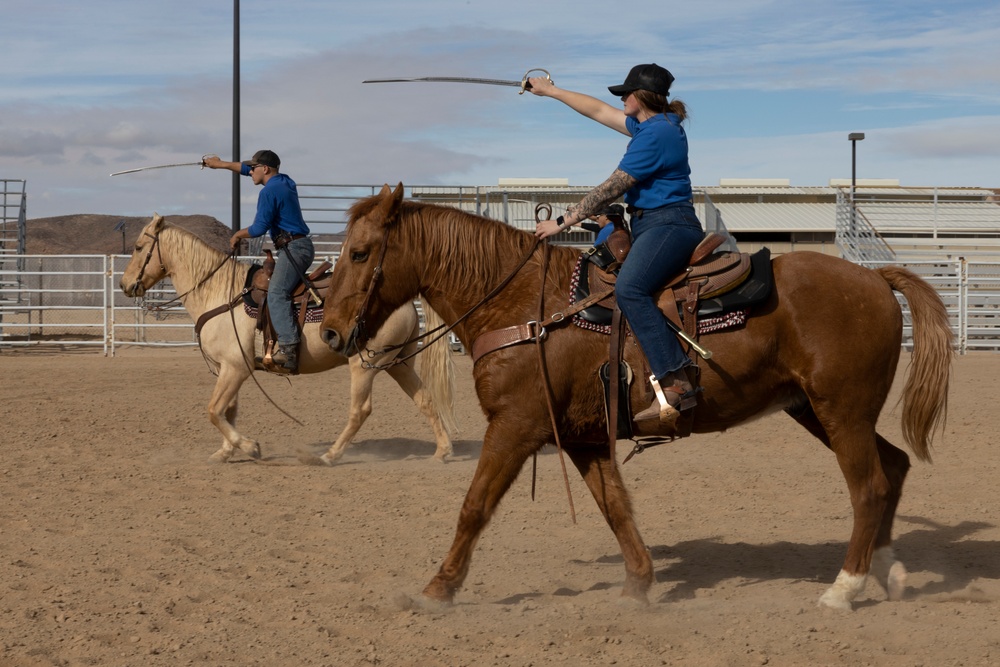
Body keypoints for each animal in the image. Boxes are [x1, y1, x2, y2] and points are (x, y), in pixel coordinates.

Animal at [120, 214, 458, 464]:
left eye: (137, 247)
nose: (125, 285)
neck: (220, 292)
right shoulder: (230, 368)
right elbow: (227, 410)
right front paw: (226, 451)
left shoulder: (235, 367)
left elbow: (214, 410)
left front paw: (249, 447)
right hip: (396, 362)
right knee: (425, 398)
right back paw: (443, 451)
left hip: (364, 364)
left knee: (360, 410)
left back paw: (329, 455)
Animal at [320, 183, 952, 612]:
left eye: (360, 252)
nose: (328, 332)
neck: (523, 304)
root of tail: (875, 278)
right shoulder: (581, 436)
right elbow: (614, 507)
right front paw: (640, 584)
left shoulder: (515, 426)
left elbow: (474, 507)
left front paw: (436, 590)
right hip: (819, 411)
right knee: (893, 467)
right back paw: (888, 572)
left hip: (840, 411)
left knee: (869, 487)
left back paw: (843, 589)